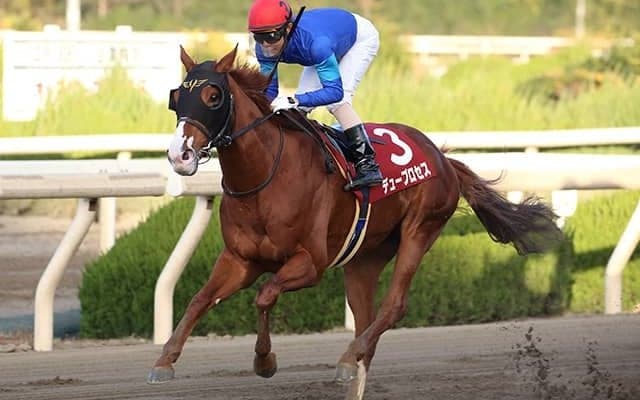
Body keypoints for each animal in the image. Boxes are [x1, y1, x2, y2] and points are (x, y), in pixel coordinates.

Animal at [149, 45, 563, 399]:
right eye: (176, 98)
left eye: (213, 96)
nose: (179, 155)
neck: (264, 177)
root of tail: (443, 158)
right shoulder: (240, 259)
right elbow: (200, 299)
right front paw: (163, 361)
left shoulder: (310, 263)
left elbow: (265, 295)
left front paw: (264, 361)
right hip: (364, 258)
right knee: (367, 321)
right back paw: (353, 364)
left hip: (420, 229)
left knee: (393, 306)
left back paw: (349, 355)